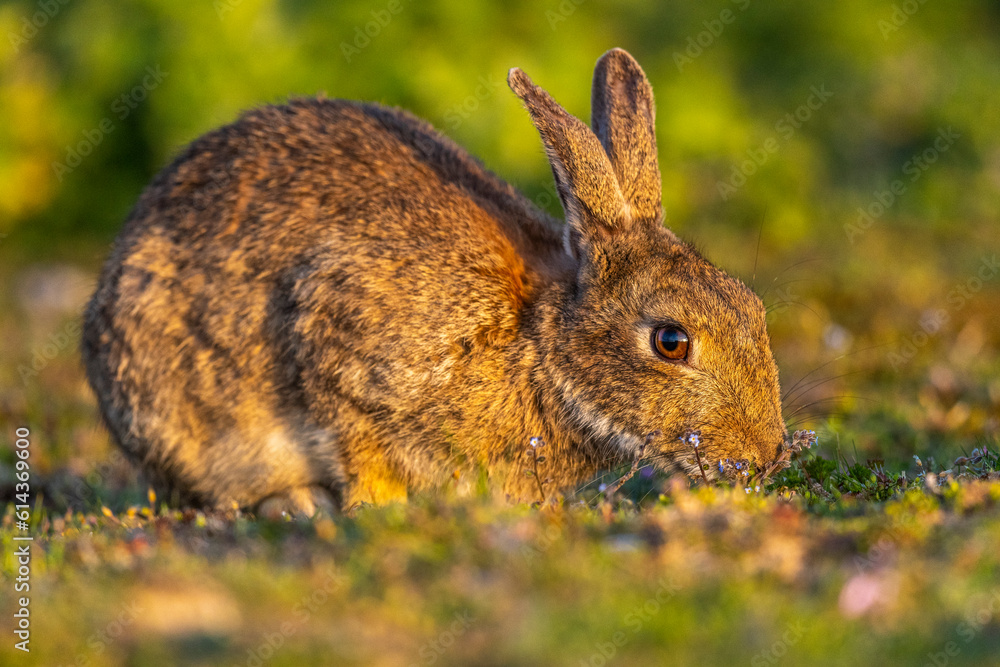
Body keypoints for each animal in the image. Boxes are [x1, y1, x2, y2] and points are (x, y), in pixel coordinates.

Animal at [82, 48, 788, 513]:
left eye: (752, 307)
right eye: (671, 341)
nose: (766, 455)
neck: (539, 344)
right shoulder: (336, 337)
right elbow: (358, 446)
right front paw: (376, 510)